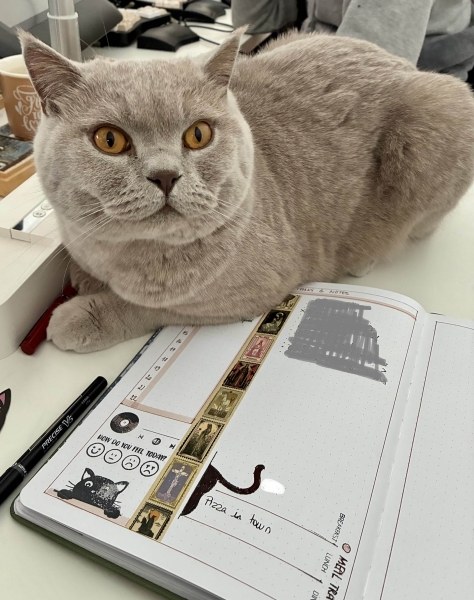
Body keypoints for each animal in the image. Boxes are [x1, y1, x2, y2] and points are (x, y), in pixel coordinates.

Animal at [20, 29, 474, 353]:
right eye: (109, 140)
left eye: (198, 134)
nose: (165, 175)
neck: (122, 255)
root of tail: (406, 63)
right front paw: (83, 278)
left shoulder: (253, 288)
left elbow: (151, 307)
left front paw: (81, 315)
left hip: (438, 115)